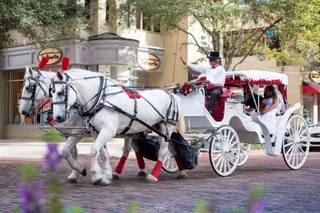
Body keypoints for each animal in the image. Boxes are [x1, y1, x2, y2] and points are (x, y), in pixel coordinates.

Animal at [51, 69, 186, 185]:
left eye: (60, 92)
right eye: (51, 92)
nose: (57, 117)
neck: (101, 99)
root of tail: (171, 94)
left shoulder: (108, 131)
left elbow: (94, 150)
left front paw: (96, 176)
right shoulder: (95, 131)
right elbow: (101, 153)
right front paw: (104, 175)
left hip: (167, 127)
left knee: (163, 151)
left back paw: (153, 175)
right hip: (158, 128)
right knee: (171, 148)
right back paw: (181, 171)